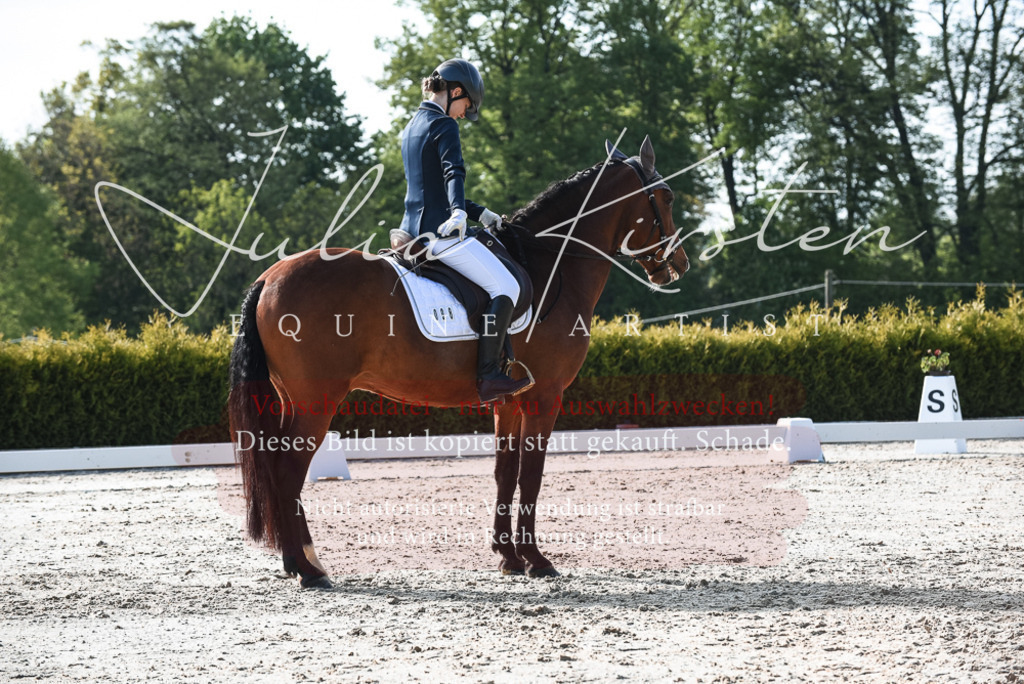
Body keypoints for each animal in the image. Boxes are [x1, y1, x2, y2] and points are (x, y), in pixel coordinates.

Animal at [228, 136, 690, 588]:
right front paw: (537, 560)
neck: (549, 264)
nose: (679, 266)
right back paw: (307, 571)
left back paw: (304, 561)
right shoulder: (544, 396)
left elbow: (505, 472)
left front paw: (509, 558)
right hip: (316, 400)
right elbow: (531, 475)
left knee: (279, 469)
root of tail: (269, 278)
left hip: (291, 397)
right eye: (666, 196)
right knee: (288, 470)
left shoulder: (509, 399)